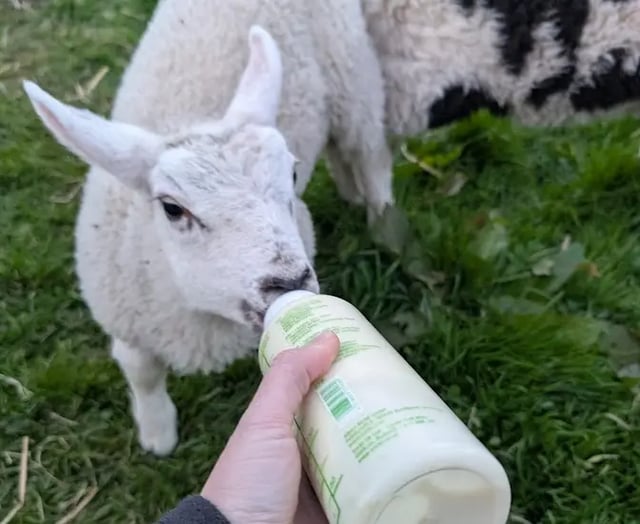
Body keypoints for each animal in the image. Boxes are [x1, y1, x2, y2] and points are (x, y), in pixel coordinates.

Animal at [23, 0, 640, 457]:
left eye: (292, 175)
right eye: (173, 209)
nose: (290, 280)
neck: (202, 322)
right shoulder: (127, 315)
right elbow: (141, 371)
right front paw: (158, 435)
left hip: (356, 83)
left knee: (370, 156)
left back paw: (382, 220)